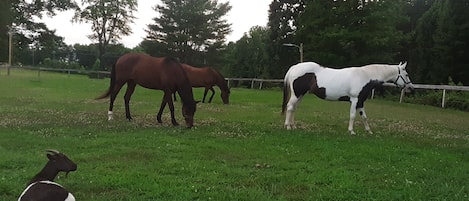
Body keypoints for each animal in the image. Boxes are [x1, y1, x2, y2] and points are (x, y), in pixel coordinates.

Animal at [280, 60, 412, 133]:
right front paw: (351, 131)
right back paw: (287, 126)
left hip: (301, 94)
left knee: (294, 108)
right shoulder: (354, 100)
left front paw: (369, 131)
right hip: (297, 94)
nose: (410, 88)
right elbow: (353, 116)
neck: (365, 76)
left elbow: (364, 117)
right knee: (290, 107)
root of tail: (295, 67)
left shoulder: (361, 101)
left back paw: (293, 126)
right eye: (406, 74)